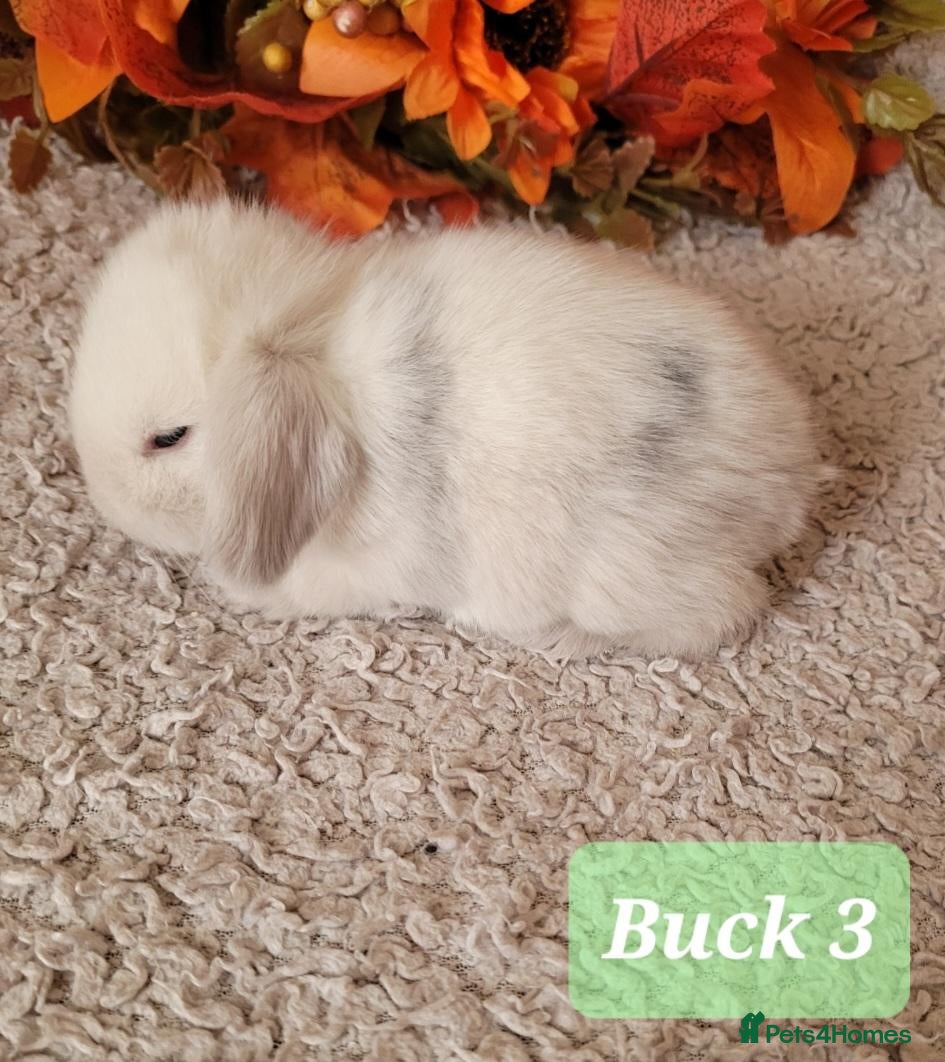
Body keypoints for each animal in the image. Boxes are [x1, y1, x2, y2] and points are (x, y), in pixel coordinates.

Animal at [70, 198, 821, 661]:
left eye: (168, 438)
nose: (106, 504)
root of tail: (790, 477)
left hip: (629, 572)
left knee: (723, 614)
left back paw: (563, 640)